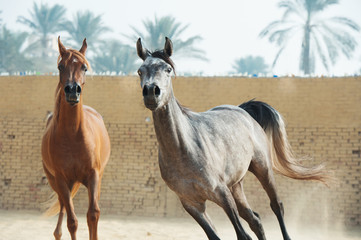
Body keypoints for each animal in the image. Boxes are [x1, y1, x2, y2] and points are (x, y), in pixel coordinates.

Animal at [41, 37, 110, 240]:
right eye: (60, 66)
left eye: (84, 67)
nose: (72, 90)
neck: (73, 135)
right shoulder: (62, 180)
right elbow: (72, 221)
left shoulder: (93, 175)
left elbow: (93, 214)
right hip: (57, 183)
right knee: (64, 206)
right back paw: (57, 233)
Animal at [135, 37, 326, 240]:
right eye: (140, 71)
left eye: (168, 69)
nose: (151, 91)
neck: (182, 149)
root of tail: (243, 111)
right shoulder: (192, 204)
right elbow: (215, 235)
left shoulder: (222, 193)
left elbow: (242, 235)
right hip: (236, 186)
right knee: (255, 220)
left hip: (263, 169)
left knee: (276, 206)